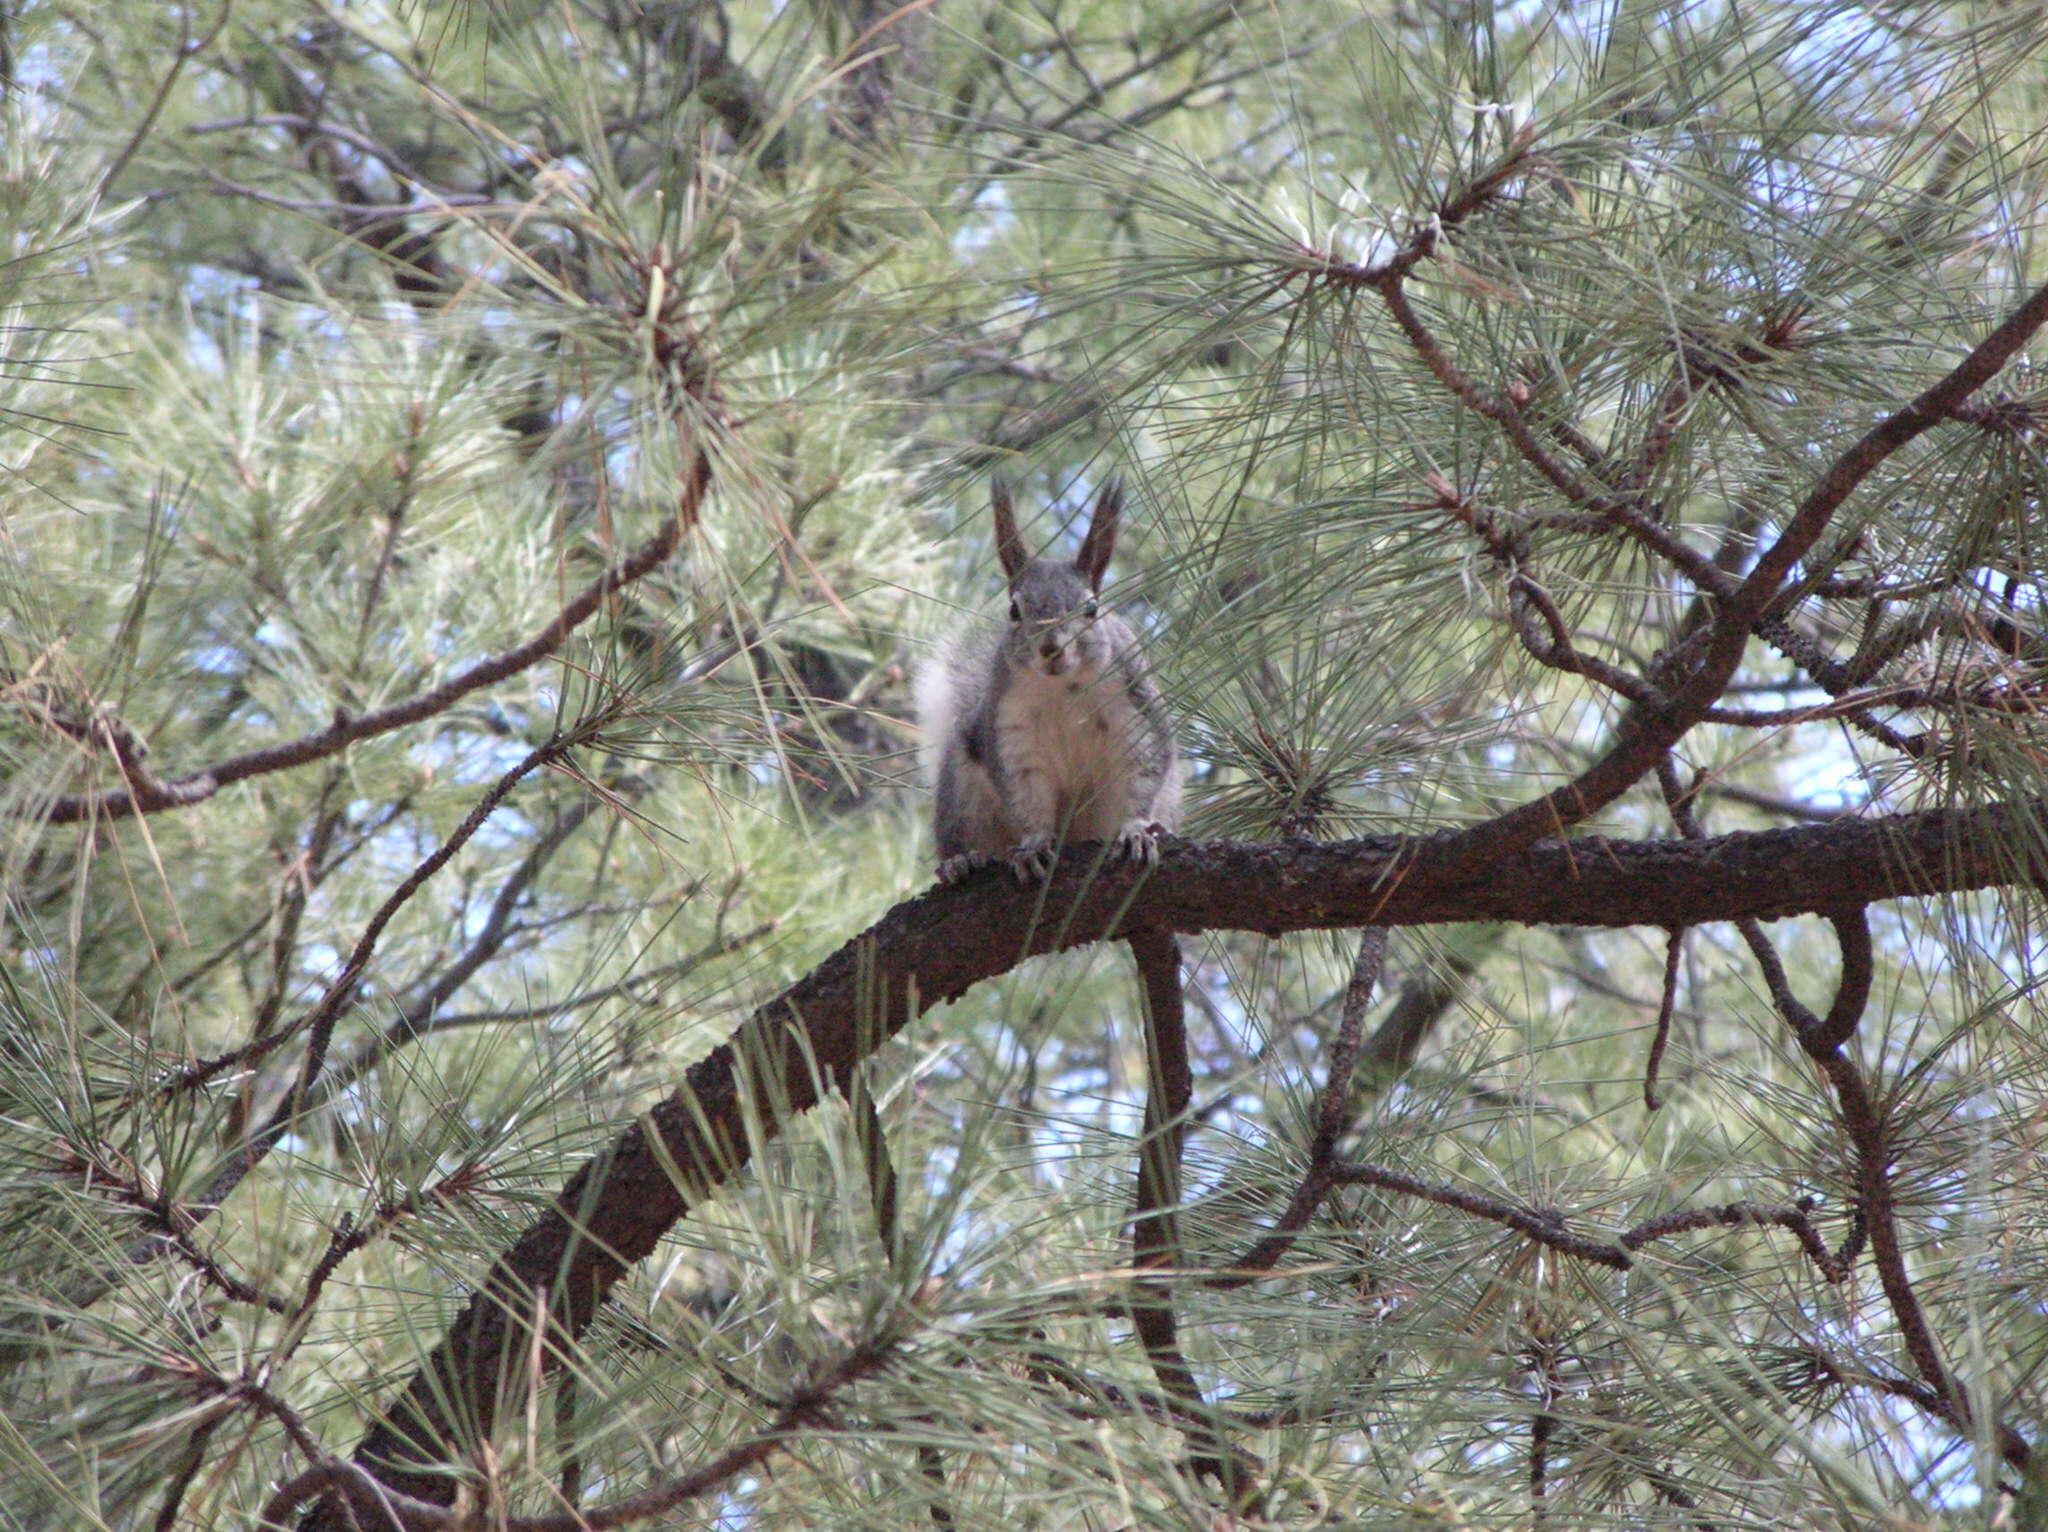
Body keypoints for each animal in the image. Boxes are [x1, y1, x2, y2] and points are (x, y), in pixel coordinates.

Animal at [917, 479, 1187, 884]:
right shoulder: (1010, 728)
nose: (1050, 648)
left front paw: (1136, 830)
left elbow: (1142, 772)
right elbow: (1026, 794)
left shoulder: (1135, 707)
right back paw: (961, 861)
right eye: (1014, 610)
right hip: (960, 793)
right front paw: (1033, 846)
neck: (1063, 689)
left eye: (1092, 608)